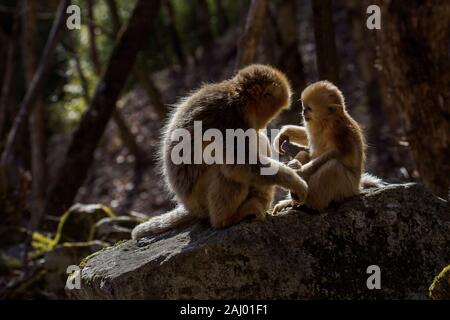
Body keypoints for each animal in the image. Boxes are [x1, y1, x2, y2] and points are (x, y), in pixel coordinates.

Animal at [272, 80, 382, 212]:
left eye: (309, 109)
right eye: (304, 106)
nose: (303, 111)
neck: (326, 121)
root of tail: (358, 187)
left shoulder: (339, 131)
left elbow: (335, 153)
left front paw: (300, 171)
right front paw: (284, 133)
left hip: (347, 188)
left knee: (332, 166)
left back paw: (311, 204)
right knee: (304, 154)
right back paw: (294, 199)